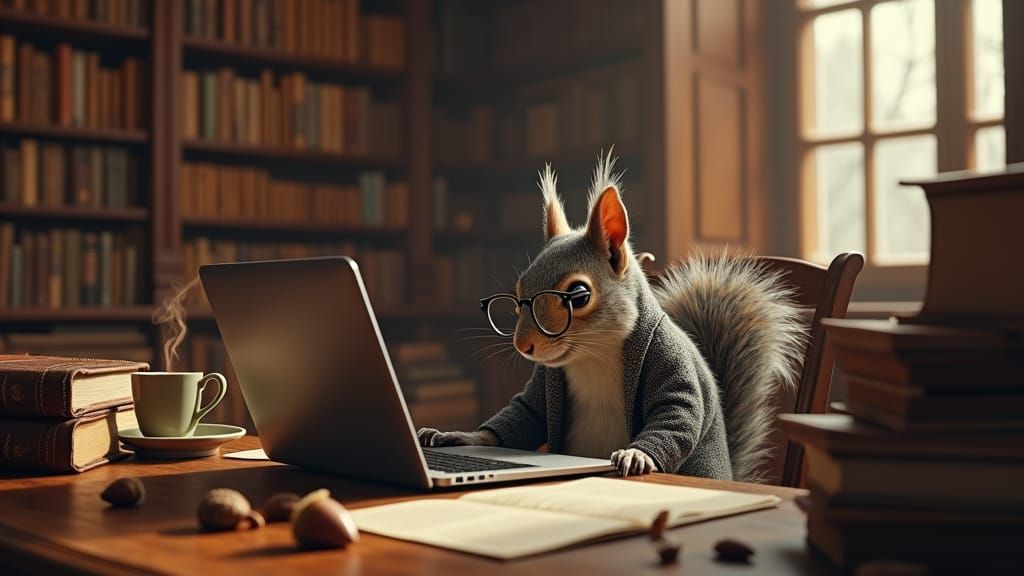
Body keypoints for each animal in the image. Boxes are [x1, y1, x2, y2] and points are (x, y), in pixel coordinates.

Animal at [418, 151, 805, 482]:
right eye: (517, 294)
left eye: (578, 295)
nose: (523, 346)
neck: (593, 355)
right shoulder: (544, 383)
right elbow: (526, 413)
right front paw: (459, 436)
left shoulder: (668, 356)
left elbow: (677, 409)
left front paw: (638, 455)